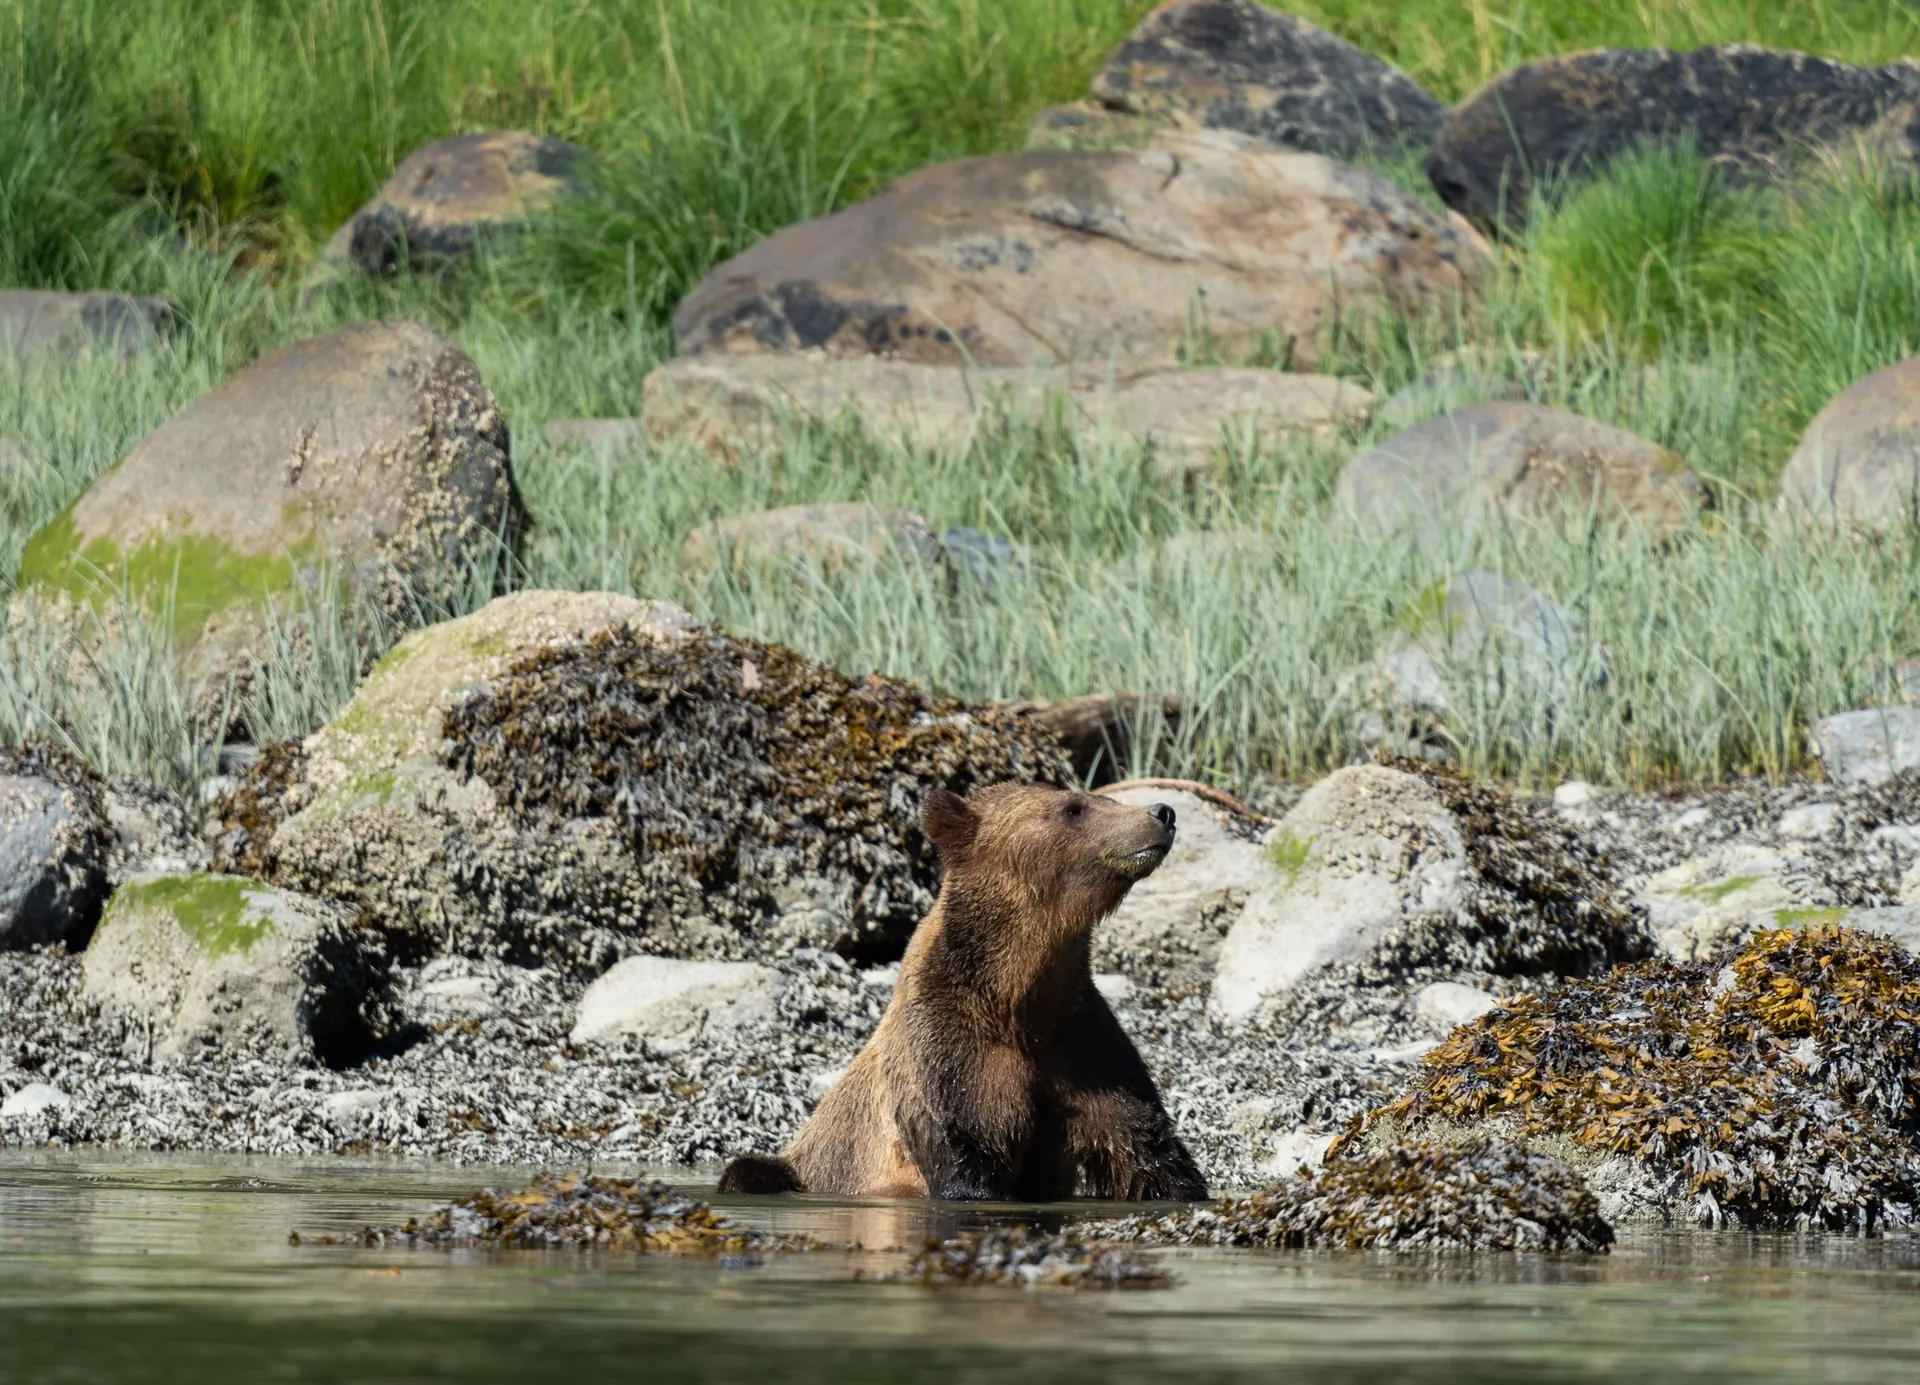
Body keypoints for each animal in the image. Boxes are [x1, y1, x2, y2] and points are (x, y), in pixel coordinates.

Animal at [719, 781, 1208, 1202]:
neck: (1017, 999)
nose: (1162, 812)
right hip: (807, 1167)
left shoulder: (1082, 1044)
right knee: (748, 1170)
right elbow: (969, 1148)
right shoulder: (951, 1052)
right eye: (1073, 807)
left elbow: (1145, 1148)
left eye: (1097, 797)